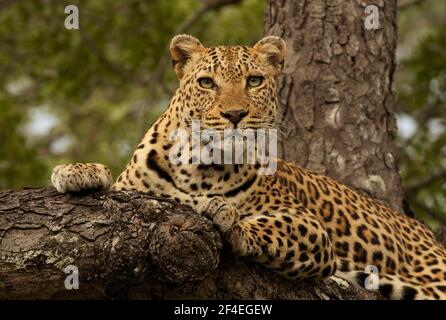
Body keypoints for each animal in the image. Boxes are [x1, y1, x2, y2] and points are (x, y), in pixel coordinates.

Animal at [51, 33, 446, 298]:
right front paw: (78, 172)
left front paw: (228, 217)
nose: (235, 114)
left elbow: (269, 227)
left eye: (254, 81)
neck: (199, 165)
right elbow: (117, 187)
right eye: (207, 83)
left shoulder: (311, 229)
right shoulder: (133, 188)